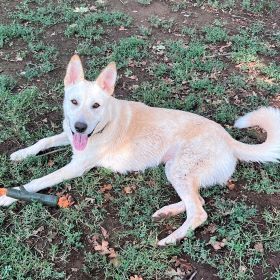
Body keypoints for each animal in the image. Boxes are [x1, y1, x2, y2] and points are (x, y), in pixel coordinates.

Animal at [2, 54, 280, 245]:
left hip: (179, 170)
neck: (104, 123)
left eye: (95, 105)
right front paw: (20, 154)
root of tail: (229, 139)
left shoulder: (75, 167)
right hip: (176, 170)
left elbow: (39, 181)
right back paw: (166, 212)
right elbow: (43, 142)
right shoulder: (68, 135)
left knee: (199, 213)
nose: (81, 127)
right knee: (198, 201)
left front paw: (9, 195)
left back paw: (170, 239)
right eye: (74, 102)